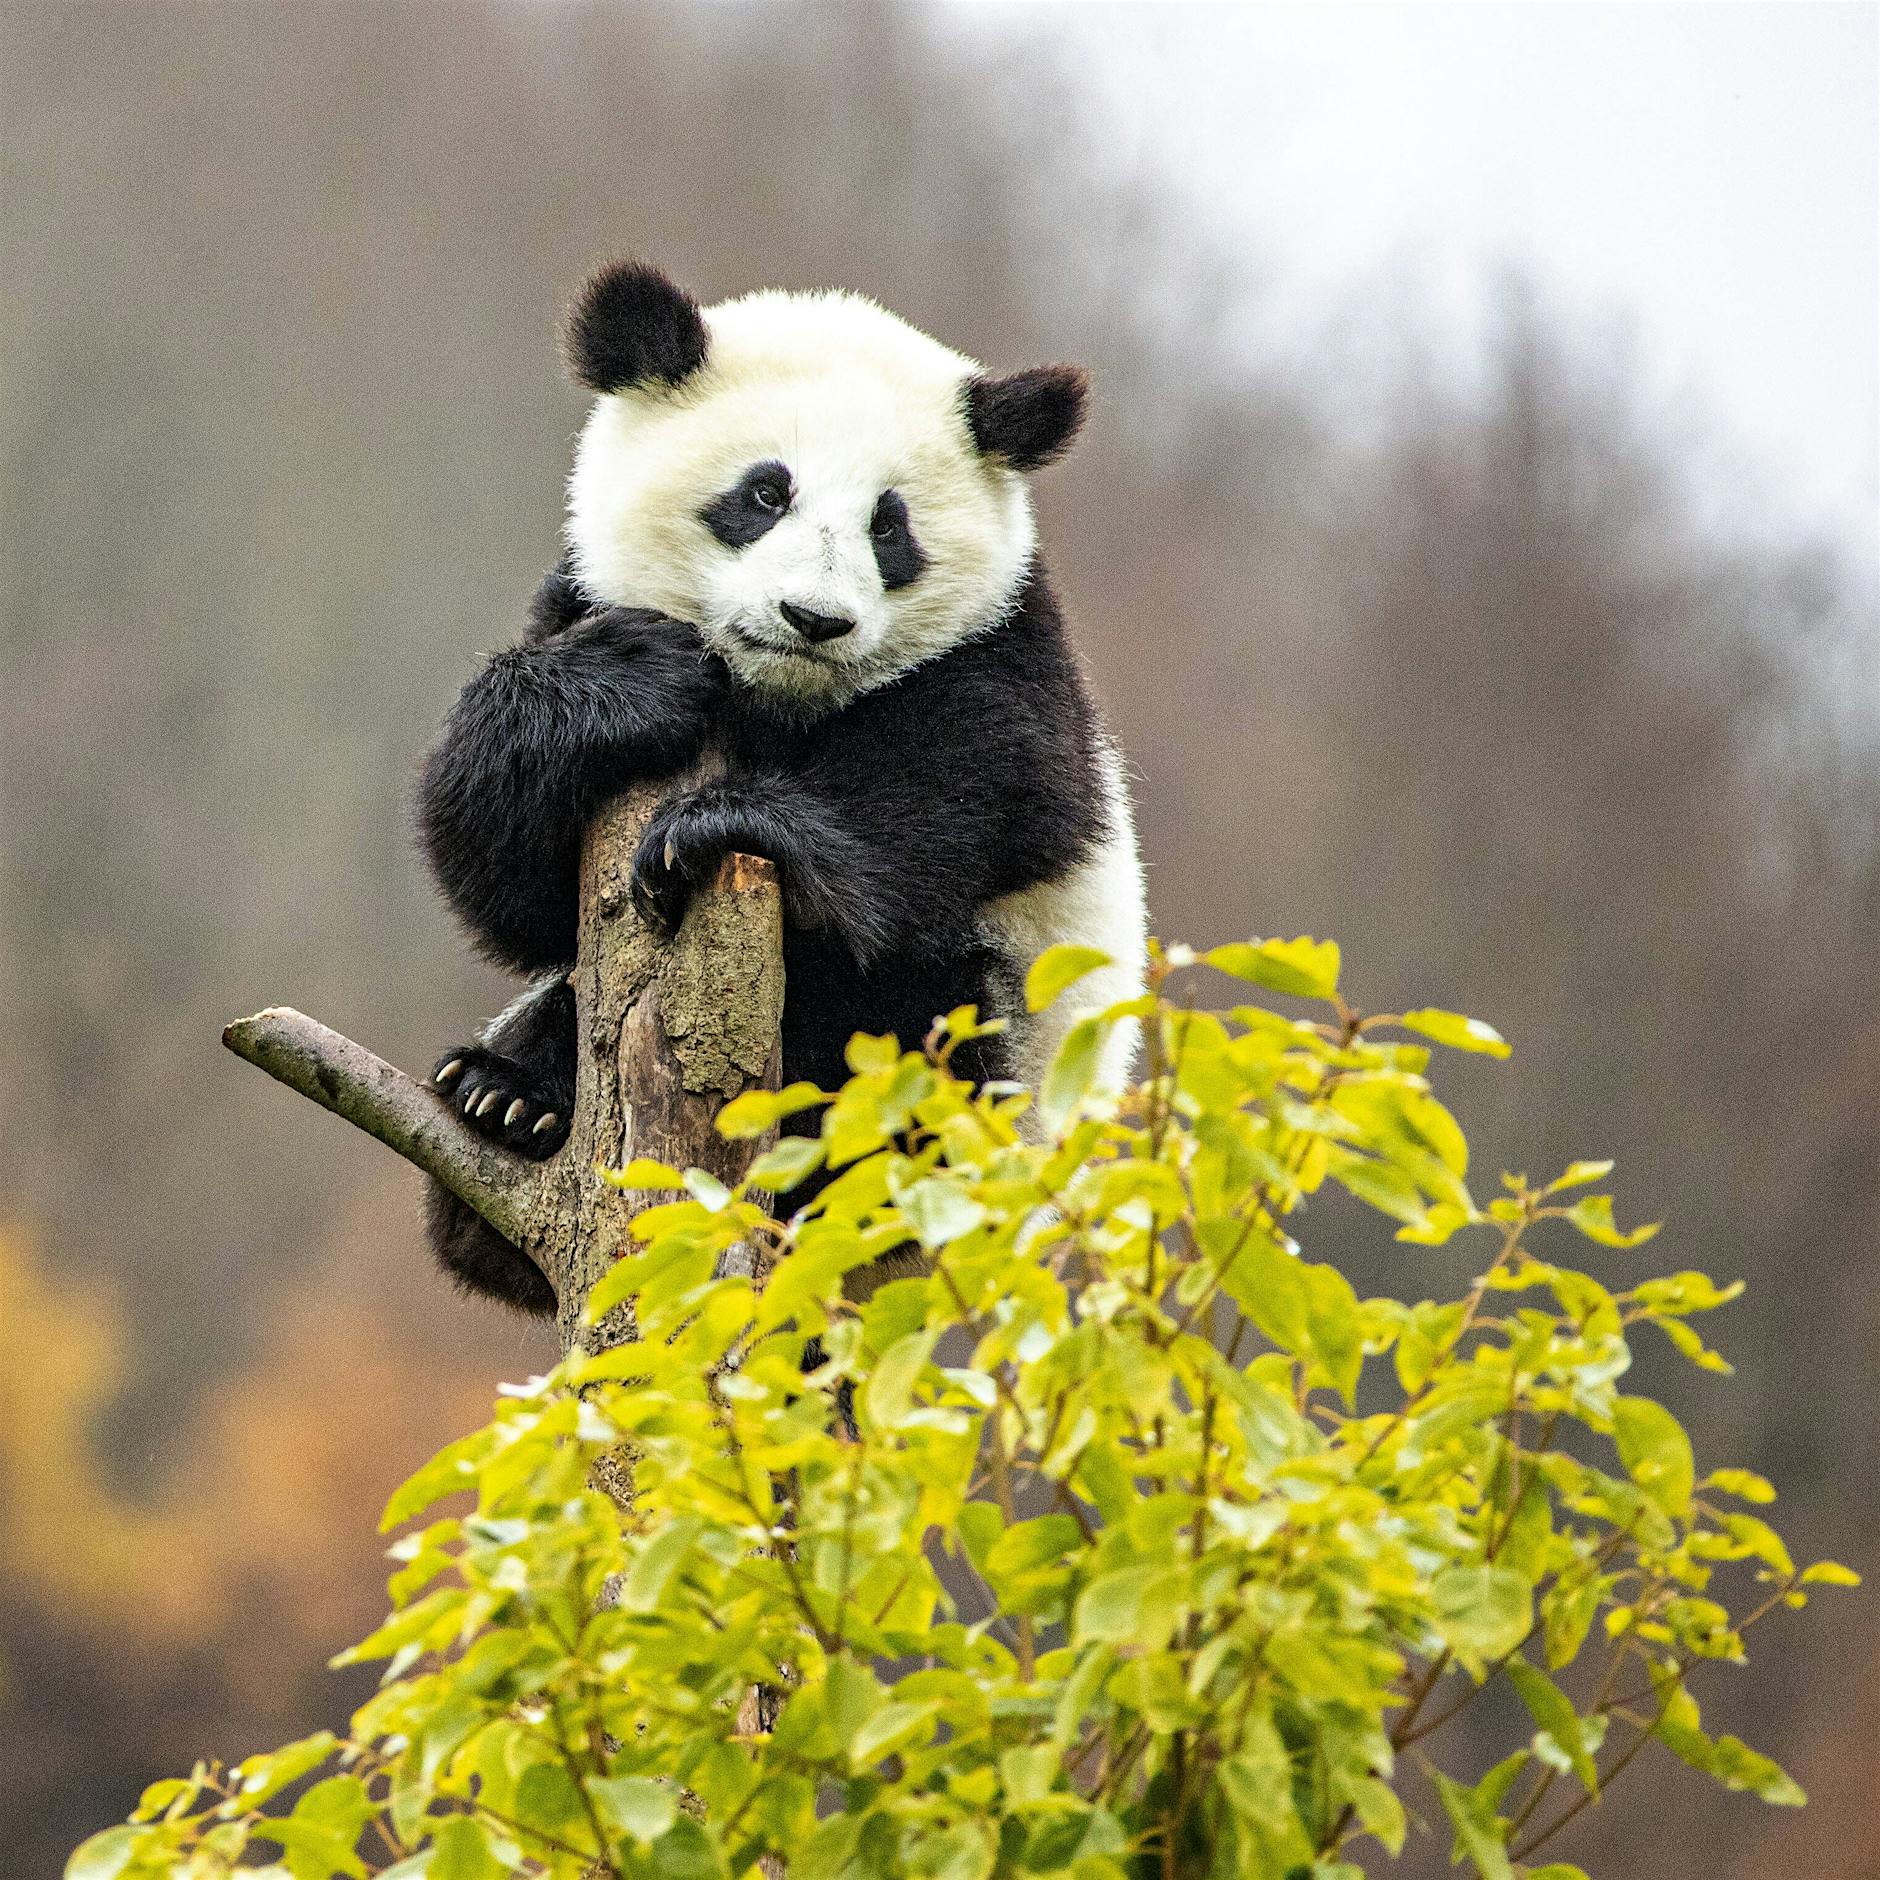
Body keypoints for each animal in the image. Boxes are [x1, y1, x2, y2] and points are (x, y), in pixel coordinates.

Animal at [418, 261, 1146, 1314]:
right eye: (765, 492)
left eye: (891, 526)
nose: (814, 618)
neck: (777, 699)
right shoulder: (575, 597)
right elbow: (515, 892)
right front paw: (631, 682)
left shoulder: (1011, 660)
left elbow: (959, 783)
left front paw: (715, 827)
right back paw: (506, 1105)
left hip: (983, 1071)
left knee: (894, 1010)